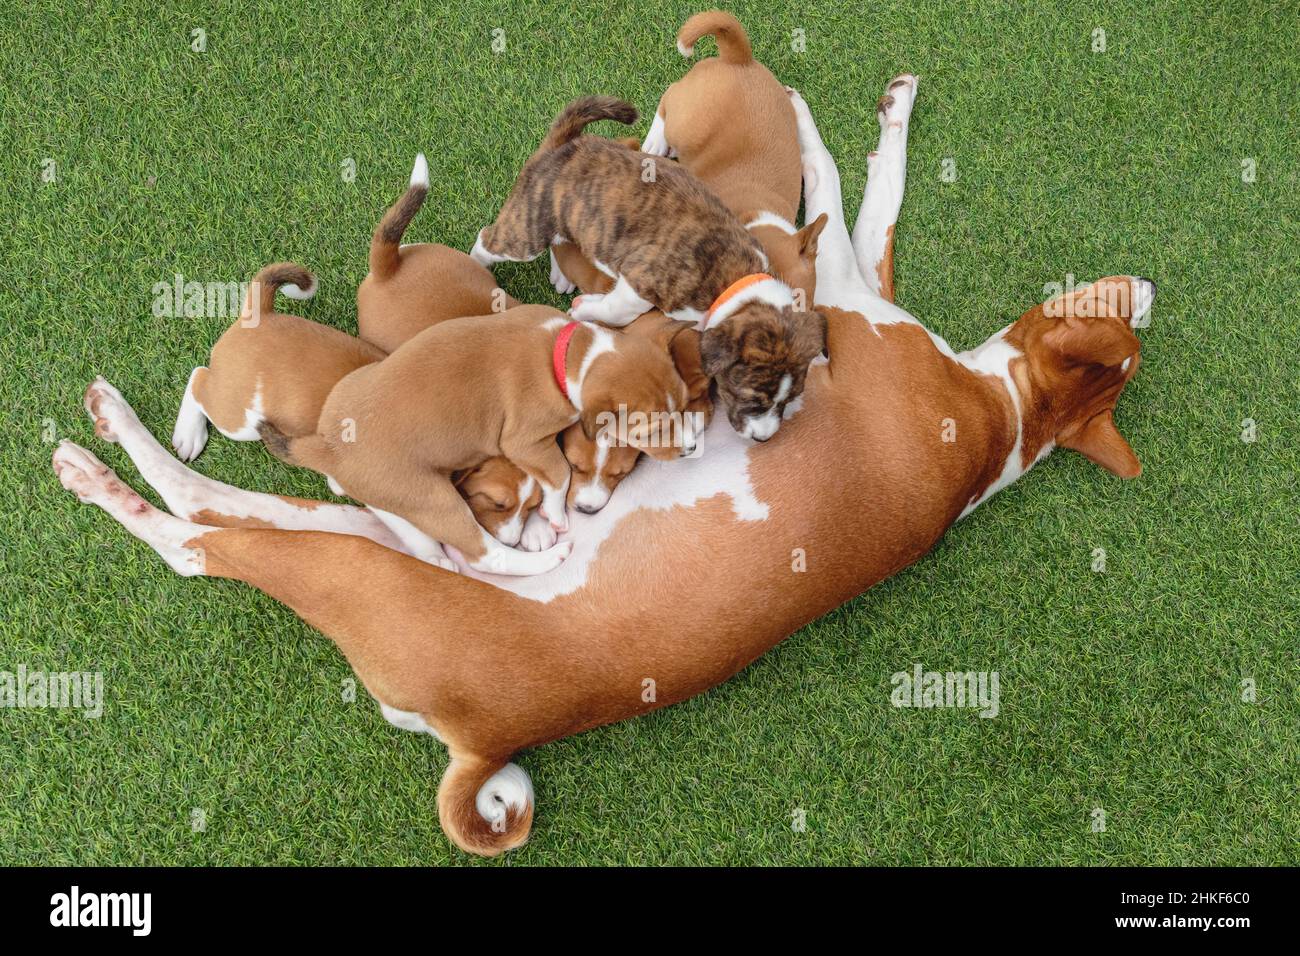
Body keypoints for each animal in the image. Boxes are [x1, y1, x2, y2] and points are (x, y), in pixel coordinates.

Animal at [258, 306, 696, 574]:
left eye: (683, 405)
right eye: (649, 431)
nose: (691, 448)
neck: (568, 355)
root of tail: (331, 446)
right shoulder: (525, 440)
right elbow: (559, 475)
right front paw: (555, 516)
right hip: (436, 500)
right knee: (486, 555)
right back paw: (550, 557)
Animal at [473, 95, 826, 442]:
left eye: (791, 397)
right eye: (752, 398)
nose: (763, 439)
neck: (734, 280)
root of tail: (565, 143)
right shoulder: (641, 281)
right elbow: (618, 310)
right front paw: (586, 309)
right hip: (526, 233)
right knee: (486, 240)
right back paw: (476, 265)